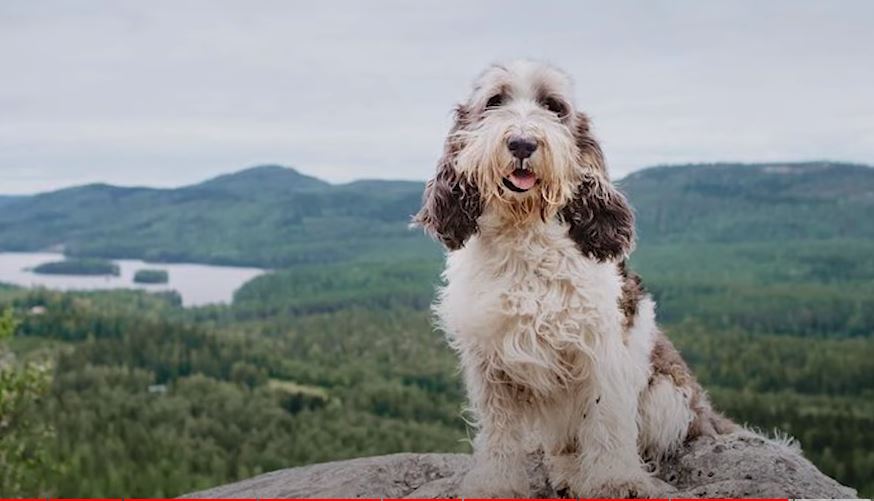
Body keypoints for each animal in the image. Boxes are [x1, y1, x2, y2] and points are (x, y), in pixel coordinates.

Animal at [416, 60, 736, 498]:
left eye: (554, 106)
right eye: (494, 101)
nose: (522, 143)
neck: (525, 236)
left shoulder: (602, 351)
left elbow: (607, 423)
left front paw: (615, 482)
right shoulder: (490, 361)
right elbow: (498, 433)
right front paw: (496, 485)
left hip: (666, 397)